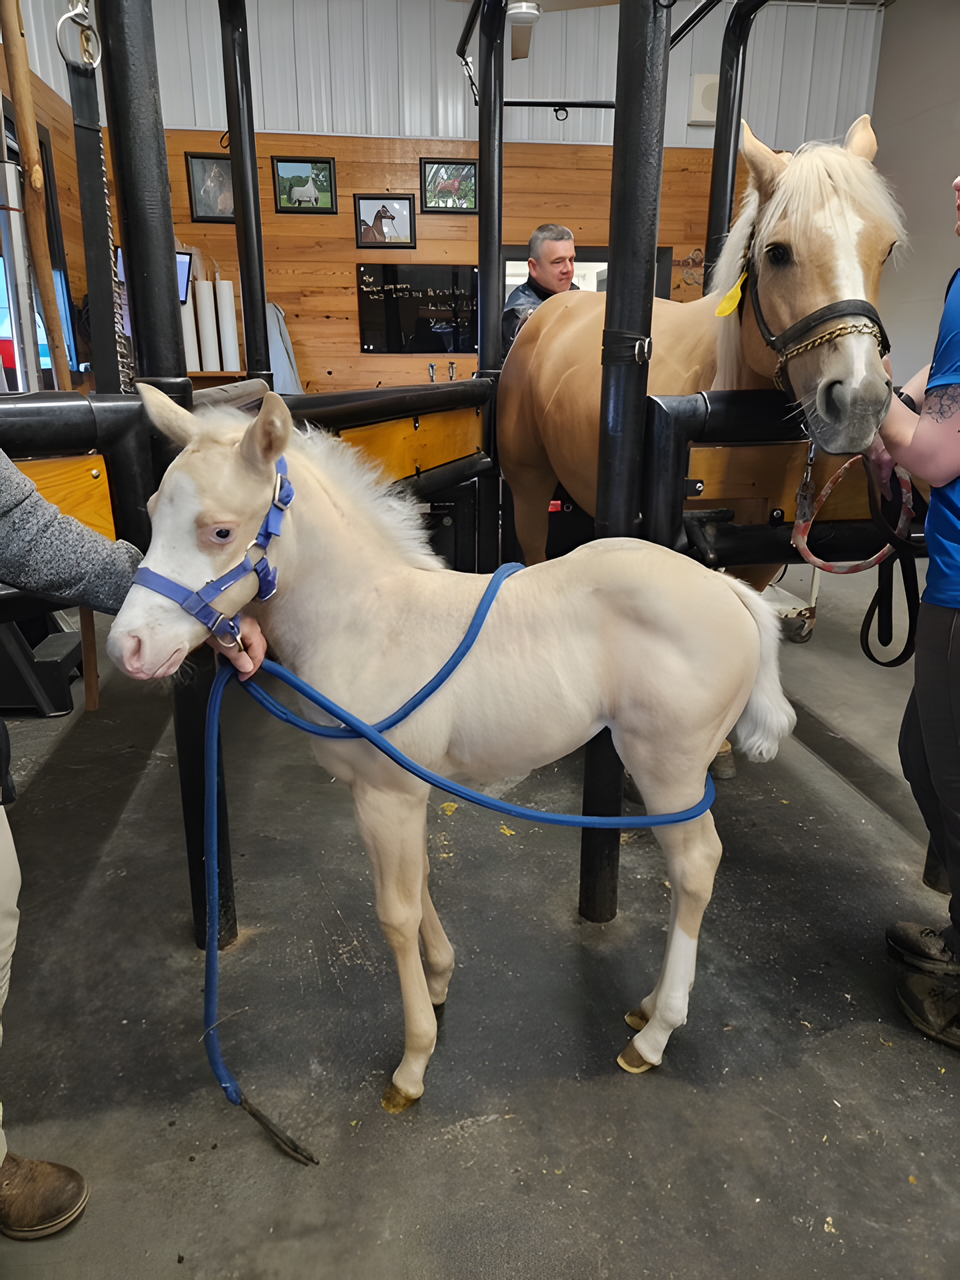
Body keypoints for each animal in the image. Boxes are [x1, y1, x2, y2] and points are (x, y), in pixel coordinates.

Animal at [107, 385, 796, 1112]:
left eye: (219, 531)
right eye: (152, 511)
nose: (129, 649)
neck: (366, 619)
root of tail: (728, 589)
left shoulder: (386, 795)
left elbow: (396, 913)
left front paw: (413, 1062)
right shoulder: (401, 793)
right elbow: (421, 884)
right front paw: (439, 981)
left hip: (669, 769)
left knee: (695, 867)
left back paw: (656, 1033)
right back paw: (645, 1008)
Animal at [498, 116, 906, 568]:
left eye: (887, 249)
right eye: (777, 253)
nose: (860, 401)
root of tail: (549, 310)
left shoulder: (762, 558)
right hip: (529, 487)